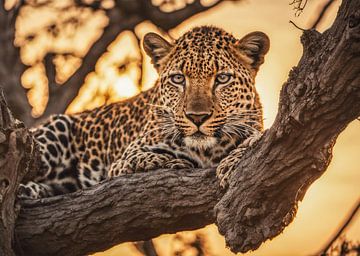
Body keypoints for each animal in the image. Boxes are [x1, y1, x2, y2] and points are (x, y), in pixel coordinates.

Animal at [18, 25, 268, 200]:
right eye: (178, 79)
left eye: (222, 78)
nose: (197, 117)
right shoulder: (123, 159)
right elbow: (140, 158)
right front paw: (166, 161)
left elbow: (253, 142)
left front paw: (231, 163)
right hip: (54, 131)